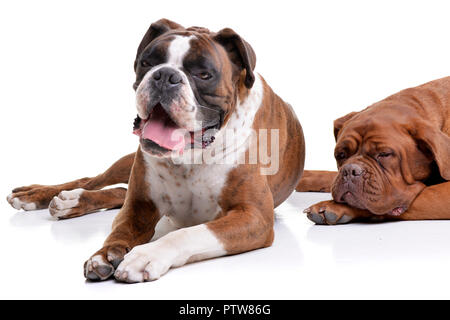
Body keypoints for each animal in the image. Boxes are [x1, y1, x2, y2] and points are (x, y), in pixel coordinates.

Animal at [6, 18, 306, 282]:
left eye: (204, 74)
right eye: (147, 63)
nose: (165, 76)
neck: (191, 157)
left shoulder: (253, 216)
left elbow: (188, 233)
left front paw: (146, 255)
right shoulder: (140, 203)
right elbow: (121, 228)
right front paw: (105, 254)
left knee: (119, 190)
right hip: (125, 163)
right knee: (95, 181)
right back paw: (45, 195)